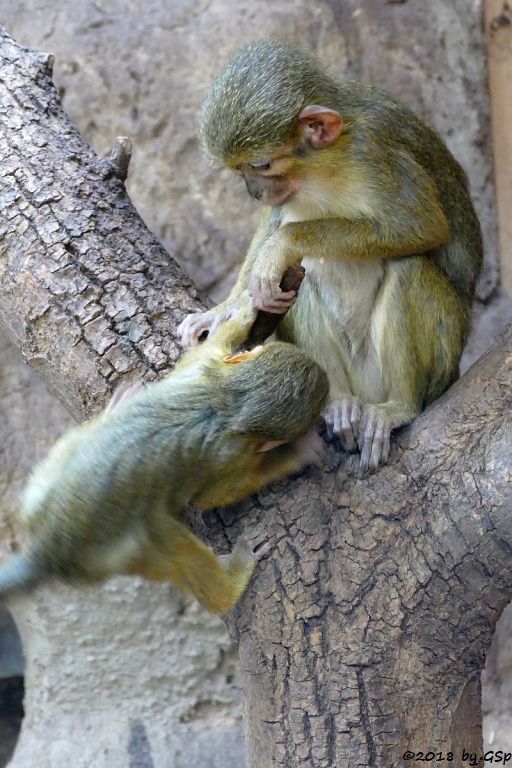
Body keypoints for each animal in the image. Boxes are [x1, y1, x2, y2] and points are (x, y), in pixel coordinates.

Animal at [0, 304, 328, 616]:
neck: (228, 399)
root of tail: (46, 550)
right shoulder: (230, 452)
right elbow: (210, 496)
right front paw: (293, 454)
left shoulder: (205, 368)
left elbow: (203, 351)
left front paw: (240, 314)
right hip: (114, 554)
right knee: (158, 531)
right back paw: (231, 582)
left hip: (41, 495)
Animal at [178, 43, 482, 474]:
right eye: (241, 172)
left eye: (261, 166)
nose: (254, 191)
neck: (321, 166)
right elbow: (276, 222)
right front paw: (228, 307)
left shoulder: (373, 151)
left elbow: (421, 225)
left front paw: (282, 245)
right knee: (304, 280)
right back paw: (337, 403)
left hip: (441, 360)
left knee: (408, 266)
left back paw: (400, 407)